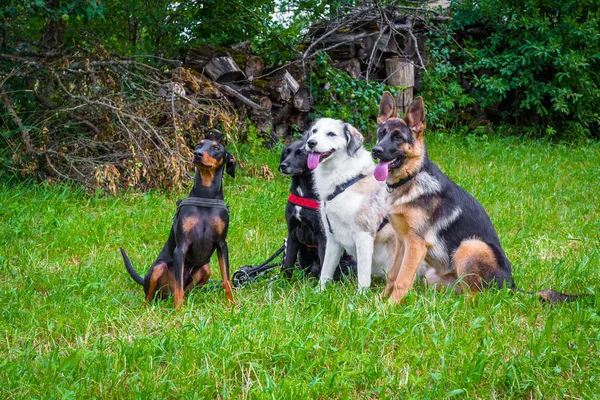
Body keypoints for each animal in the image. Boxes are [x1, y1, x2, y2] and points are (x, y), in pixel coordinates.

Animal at [120, 136, 236, 308]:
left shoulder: (222, 245)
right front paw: (179, 310)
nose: (197, 154)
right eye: (198, 144)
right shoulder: (181, 247)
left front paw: (232, 305)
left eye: (216, 148)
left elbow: (226, 280)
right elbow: (179, 286)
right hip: (158, 268)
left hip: (206, 268)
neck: (205, 196)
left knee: (186, 289)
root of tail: (166, 295)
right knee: (153, 295)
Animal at [278, 139, 356, 280]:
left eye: (300, 153)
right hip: (302, 255)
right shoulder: (292, 235)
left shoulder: (322, 237)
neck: (303, 195)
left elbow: (324, 265)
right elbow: (288, 264)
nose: (283, 165)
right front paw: (284, 283)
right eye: (287, 152)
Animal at [304, 119, 398, 290]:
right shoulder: (333, 238)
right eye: (314, 131)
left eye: (331, 134)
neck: (343, 182)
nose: (311, 142)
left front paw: (361, 294)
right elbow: (326, 270)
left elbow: (363, 275)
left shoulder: (364, 235)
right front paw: (319, 291)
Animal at [372, 91, 584, 304]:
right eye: (381, 134)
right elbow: (393, 274)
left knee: (477, 298)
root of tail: (510, 286)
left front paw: (390, 306)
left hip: (470, 246)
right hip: (434, 276)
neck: (411, 177)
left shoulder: (415, 244)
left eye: (398, 137)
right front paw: (380, 300)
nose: (376, 150)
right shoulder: (402, 242)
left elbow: (403, 279)